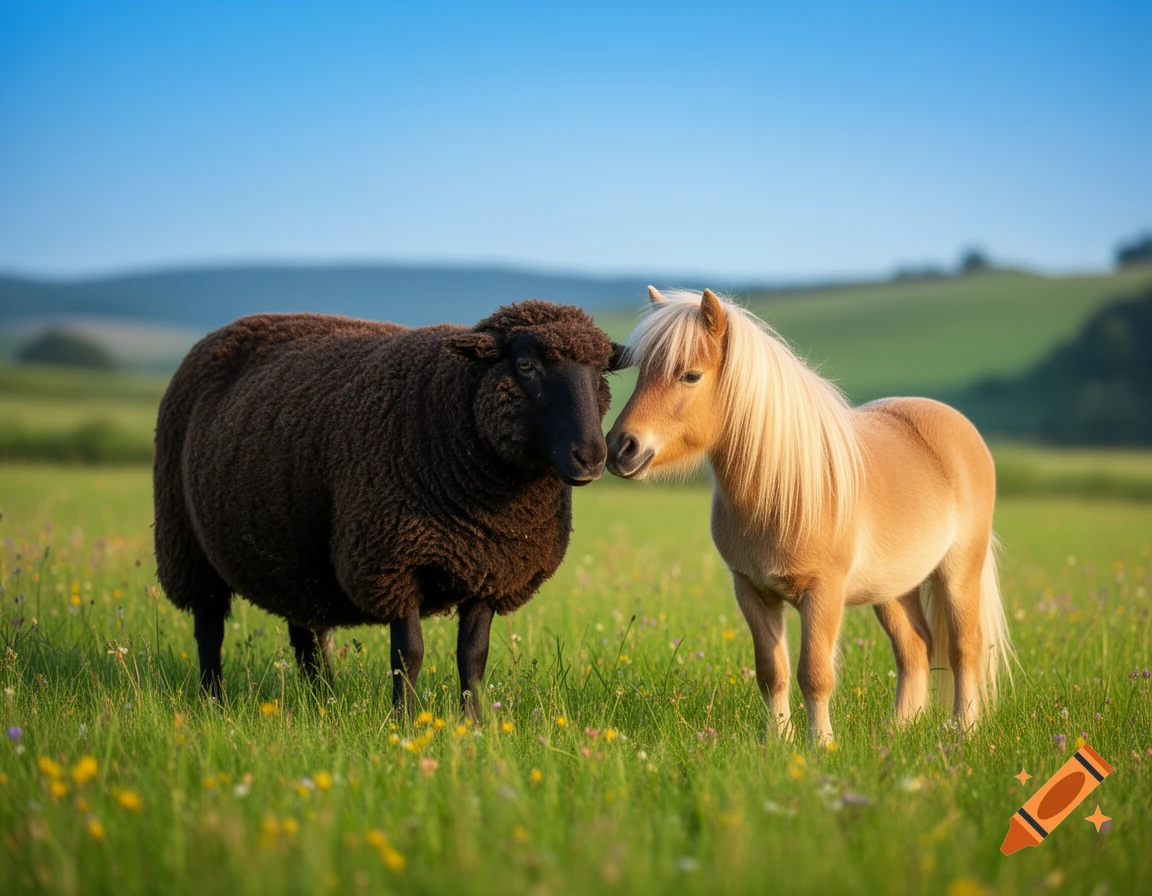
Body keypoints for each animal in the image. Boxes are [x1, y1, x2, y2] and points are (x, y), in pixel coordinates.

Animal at [153, 301, 626, 717]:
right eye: (525, 365)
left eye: (601, 372)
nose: (591, 457)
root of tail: (221, 332)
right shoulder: (391, 561)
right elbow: (408, 654)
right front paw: (403, 722)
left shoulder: (492, 569)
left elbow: (473, 655)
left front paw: (473, 725)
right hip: (187, 543)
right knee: (209, 627)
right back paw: (213, 701)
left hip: (293, 555)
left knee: (306, 635)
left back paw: (323, 700)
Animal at [606, 287, 1014, 744]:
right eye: (642, 371)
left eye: (690, 375)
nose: (620, 448)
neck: (783, 490)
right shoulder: (752, 592)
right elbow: (773, 673)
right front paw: (777, 742)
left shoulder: (823, 593)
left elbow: (814, 674)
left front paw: (820, 744)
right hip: (894, 588)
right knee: (916, 647)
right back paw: (898, 729)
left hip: (959, 572)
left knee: (965, 648)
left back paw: (965, 730)